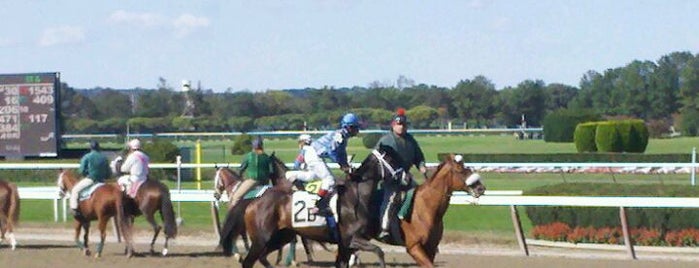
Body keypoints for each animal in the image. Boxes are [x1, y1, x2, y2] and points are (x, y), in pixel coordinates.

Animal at [224, 147, 408, 268]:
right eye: (392, 160)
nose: (407, 177)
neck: (356, 198)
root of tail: (254, 200)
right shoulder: (351, 238)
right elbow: (379, 251)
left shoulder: (345, 245)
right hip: (261, 239)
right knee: (248, 262)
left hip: (280, 237)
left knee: (262, 257)